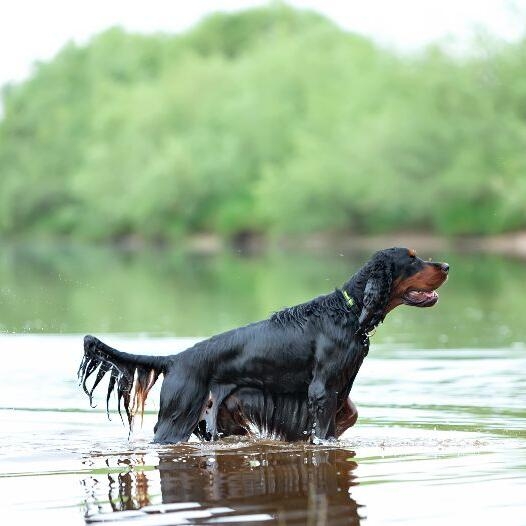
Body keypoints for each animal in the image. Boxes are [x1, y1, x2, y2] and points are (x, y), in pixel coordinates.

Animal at [78, 250, 450, 444]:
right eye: (412, 260)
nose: (446, 265)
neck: (349, 311)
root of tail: (175, 359)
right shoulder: (322, 389)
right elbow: (325, 428)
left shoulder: (336, 388)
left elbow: (348, 413)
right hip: (178, 416)